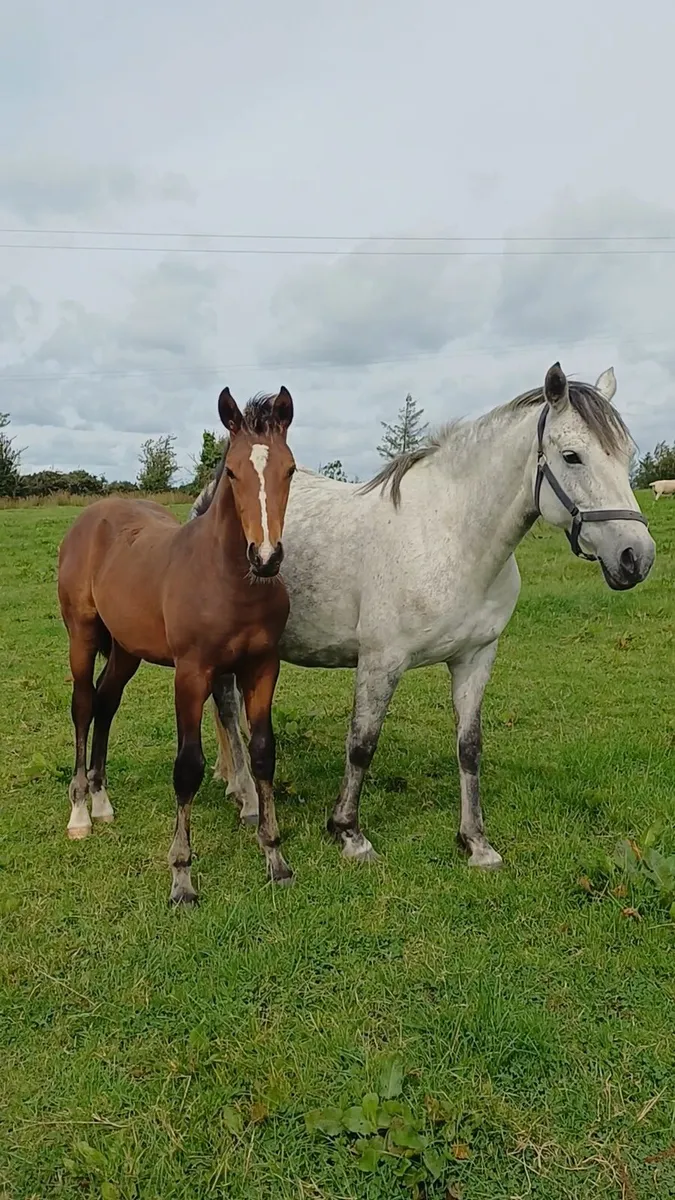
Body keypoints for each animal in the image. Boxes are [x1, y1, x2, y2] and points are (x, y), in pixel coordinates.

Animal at [57, 386, 296, 904]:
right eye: (233, 472)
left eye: (289, 469)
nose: (266, 557)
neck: (230, 581)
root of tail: (92, 517)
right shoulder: (192, 673)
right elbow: (187, 766)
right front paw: (182, 877)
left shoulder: (262, 667)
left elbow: (262, 752)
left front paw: (274, 856)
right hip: (81, 635)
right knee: (84, 705)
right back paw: (81, 812)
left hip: (126, 649)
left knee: (106, 701)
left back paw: (103, 802)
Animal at [194, 363, 655, 871]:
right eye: (572, 456)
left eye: (627, 455)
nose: (636, 556)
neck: (450, 537)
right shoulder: (381, 661)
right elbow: (362, 744)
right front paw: (348, 833)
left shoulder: (475, 658)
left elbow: (469, 747)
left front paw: (476, 842)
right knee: (227, 706)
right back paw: (249, 801)